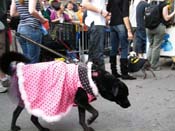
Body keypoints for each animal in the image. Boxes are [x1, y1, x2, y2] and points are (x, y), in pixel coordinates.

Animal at [0, 51, 131, 131]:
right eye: (123, 95)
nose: (129, 105)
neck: (94, 78)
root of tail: (17, 71)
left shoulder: (81, 103)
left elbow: (82, 119)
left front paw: (86, 127)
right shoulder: (82, 101)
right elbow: (95, 112)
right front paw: (90, 120)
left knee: (25, 116)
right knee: (21, 115)